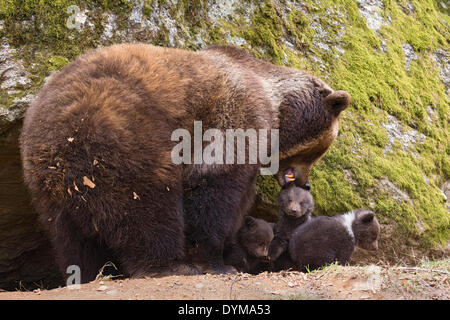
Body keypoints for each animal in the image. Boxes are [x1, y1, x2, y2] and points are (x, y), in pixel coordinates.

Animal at [20, 44, 352, 282]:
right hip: (126, 140)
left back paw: (89, 272)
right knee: (149, 207)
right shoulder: (234, 118)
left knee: (71, 237)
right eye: (319, 151)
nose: (304, 181)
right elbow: (213, 193)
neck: (275, 104)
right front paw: (217, 262)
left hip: (46, 185)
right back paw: (167, 265)